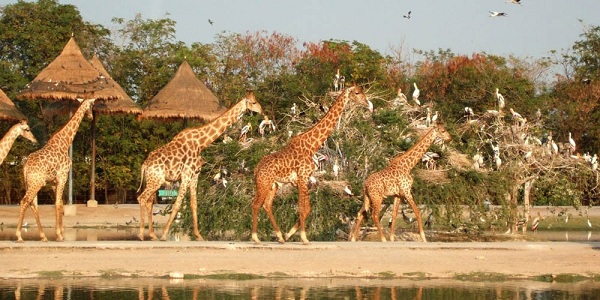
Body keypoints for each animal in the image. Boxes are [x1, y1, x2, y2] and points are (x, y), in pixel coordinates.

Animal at [15, 97, 95, 243]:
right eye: (92, 105)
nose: (91, 116)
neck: (65, 142)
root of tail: (25, 166)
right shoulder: (62, 176)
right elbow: (58, 204)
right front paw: (59, 235)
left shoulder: (53, 182)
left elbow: (60, 203)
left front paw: (60, 233)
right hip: (36, 183)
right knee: (25, 200)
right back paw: (19, 236)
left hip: (29, 182)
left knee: (32, 203)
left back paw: (43, 236)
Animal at [139, 91, 264, 241]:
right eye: (254, 102)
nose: (262, 111)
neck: (200, 143)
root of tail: (144, 165)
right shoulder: (186, 174)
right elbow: (177, 204)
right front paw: (164, 234)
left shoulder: (195, 175)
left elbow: (194, 204)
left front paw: (198, 235)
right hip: (155, 181)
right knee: (142, 198)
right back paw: (142, 234)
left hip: (154, 181)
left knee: (149, 202)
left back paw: (152, 235)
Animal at [251, 85, 372, 245]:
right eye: (357, 93)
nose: (368, 104)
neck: (312, 145)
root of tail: (256, 169)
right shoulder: (302, 177)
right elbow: (302, 208)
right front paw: (304, 238)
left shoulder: (303, 180)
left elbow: (307, 208)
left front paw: (289, 235)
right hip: (263, 183)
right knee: (256, 204)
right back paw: (256, 238)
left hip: (273, 185)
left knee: (267, 205)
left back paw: (280, 237)